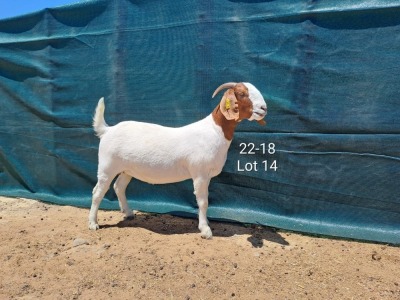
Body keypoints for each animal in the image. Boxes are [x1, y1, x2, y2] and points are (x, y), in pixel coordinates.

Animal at [89, 82, 268, 239]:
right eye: (242, 93)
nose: (264, 108)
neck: (214, 131)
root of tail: (107, 130)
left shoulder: (207, 175)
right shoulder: (200, 173)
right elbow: (203, 201)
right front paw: (205, 230)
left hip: (127, 169)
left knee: (119, 187)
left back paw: (128, 213)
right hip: (107, 166)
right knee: (98, 192)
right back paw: (93, 223)